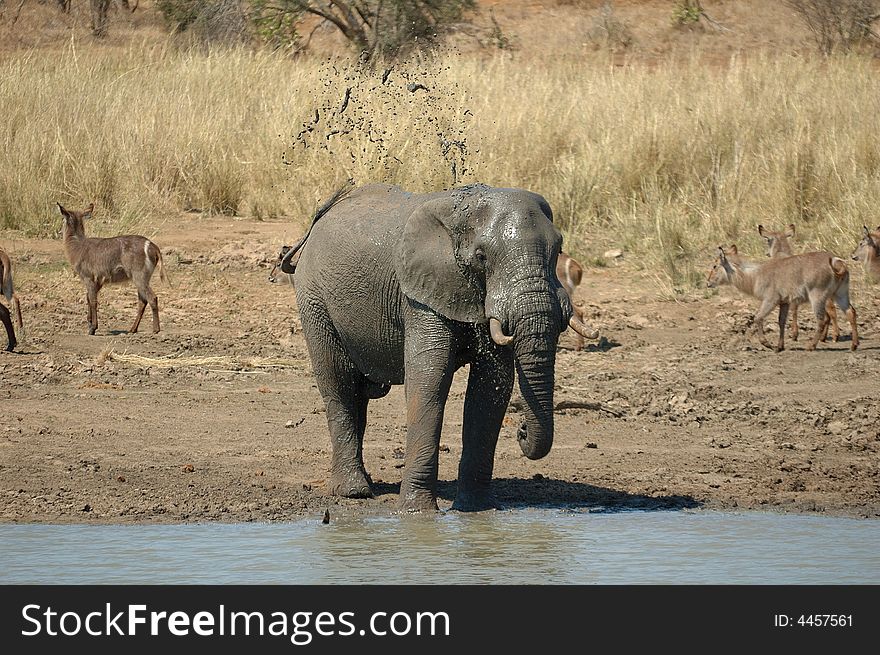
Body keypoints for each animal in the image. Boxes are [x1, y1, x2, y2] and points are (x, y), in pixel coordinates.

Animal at [58, 204, 167, 338]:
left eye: (62, 219)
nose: (59, 231)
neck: (76, 246)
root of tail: (153, 246)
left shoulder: (88, 277)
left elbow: (93, 300)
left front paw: (93, 328)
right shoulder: (99, 281)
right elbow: (88, 297)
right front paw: (89, 322)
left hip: (139, 276)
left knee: (152, 298)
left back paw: (155, 329)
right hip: (142, 278)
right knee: (143, 301)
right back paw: (132, 329)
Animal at [286, 183, 596, 512]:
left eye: (558, 250)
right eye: (481, 256)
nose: (522, 430)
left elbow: (489, 392)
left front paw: (477, 510)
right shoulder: (420, 295)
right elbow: (429, 381)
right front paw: (417, 513)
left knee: (358, 396)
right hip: (313, 299)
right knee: (339, 386)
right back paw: (354, 492)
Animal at [708, 245, 860, 354]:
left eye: (715, 265)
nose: (708, 282)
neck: (755, 276)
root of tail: (835, 261)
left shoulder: (770, 300)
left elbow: (758, 318)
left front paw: (767, 344)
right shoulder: (784, 302)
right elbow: (781, 322)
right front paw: (779, 347)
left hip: (817, 296)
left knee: (821, 320)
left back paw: (811, 346)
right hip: (840, 294)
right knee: (851, 312)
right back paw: (854, 345)